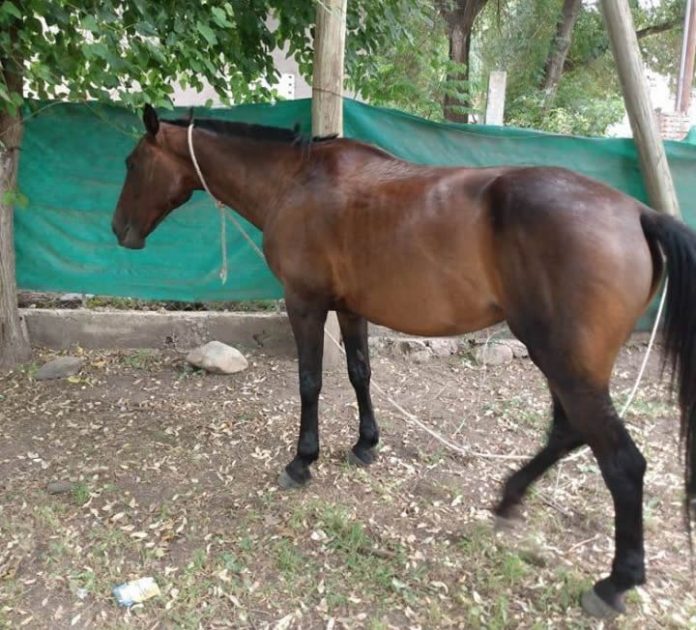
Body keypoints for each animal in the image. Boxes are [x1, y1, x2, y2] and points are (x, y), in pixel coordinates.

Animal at [112, 104, 696, 619]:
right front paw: (365, 444)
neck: (296, 182)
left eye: (133, 163)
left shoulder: (305, 304)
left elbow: (310, 381)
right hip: (562, 362)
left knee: (621, 463)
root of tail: (638, 213)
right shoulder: (349, 309)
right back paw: (508, 499)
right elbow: (358, 373)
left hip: (565, 363)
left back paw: (615, 582)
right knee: (567, 432)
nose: (119, 230)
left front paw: (302, 461)